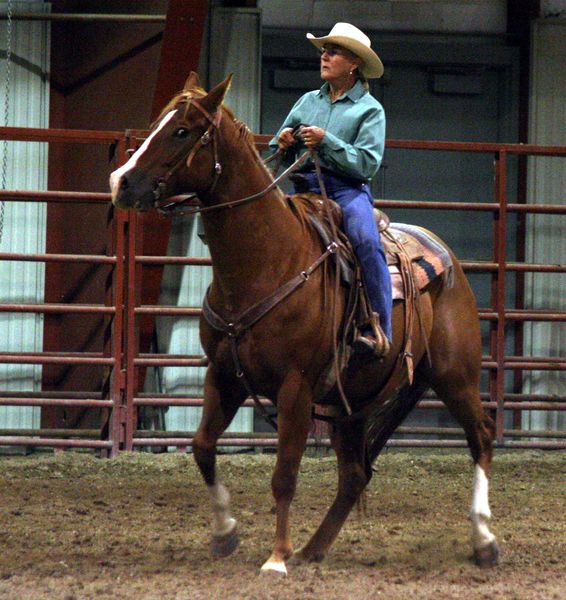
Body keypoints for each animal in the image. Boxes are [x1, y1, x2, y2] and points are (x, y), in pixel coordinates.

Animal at [111, 72, 502, 576]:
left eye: (181, 131)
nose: (120, 181)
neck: (266, 261)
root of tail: (446, 257)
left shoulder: (294, 388)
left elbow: (284, 475)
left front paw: (276, 557)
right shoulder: (223, 376)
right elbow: (202, 447)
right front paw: (226, 534)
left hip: (455, 376)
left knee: (482, 437)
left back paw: (484, 540)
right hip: (353, 401)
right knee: (355, 474)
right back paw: (314, 548)